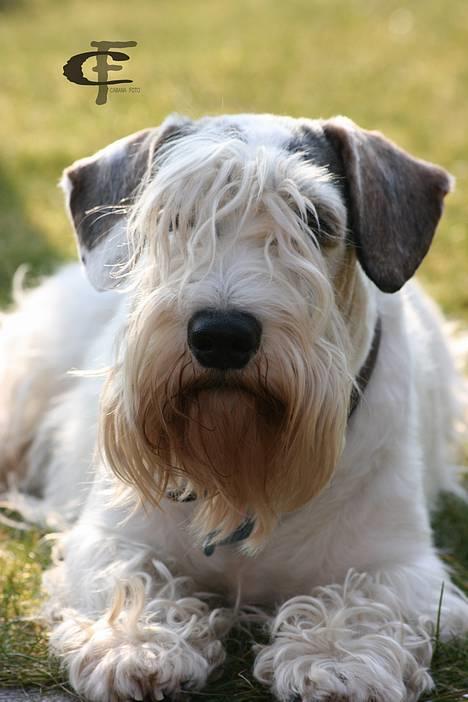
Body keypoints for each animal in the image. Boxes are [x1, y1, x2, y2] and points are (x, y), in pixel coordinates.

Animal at [0, 113, 468, 700]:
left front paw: (336, 656)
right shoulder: (113, 538)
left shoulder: (401, 563)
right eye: (176, 216)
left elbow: (367, 599)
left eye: (315, 220)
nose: (222, 335)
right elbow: (129, 576)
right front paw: (135, 641)